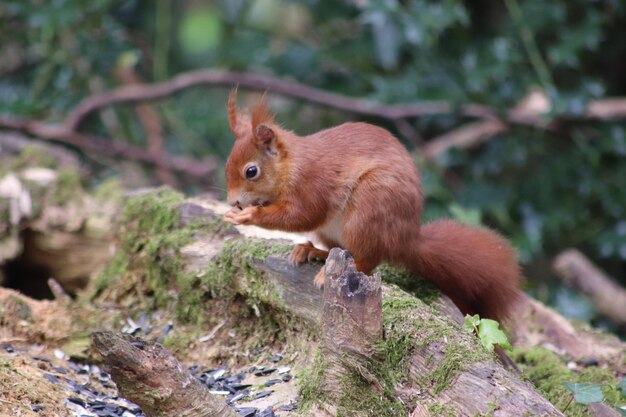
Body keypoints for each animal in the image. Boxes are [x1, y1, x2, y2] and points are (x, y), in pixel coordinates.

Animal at [224, 90, 520, 318]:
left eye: (251, 171)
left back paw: (328, 270)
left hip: (368, 207)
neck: (290, 165)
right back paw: (312, 251)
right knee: (340, 250)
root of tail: (405, 240)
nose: (233, 201)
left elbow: (303, 215)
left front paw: (249, 215)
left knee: (368, 260)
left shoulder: (313, 183)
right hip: (335, 230)